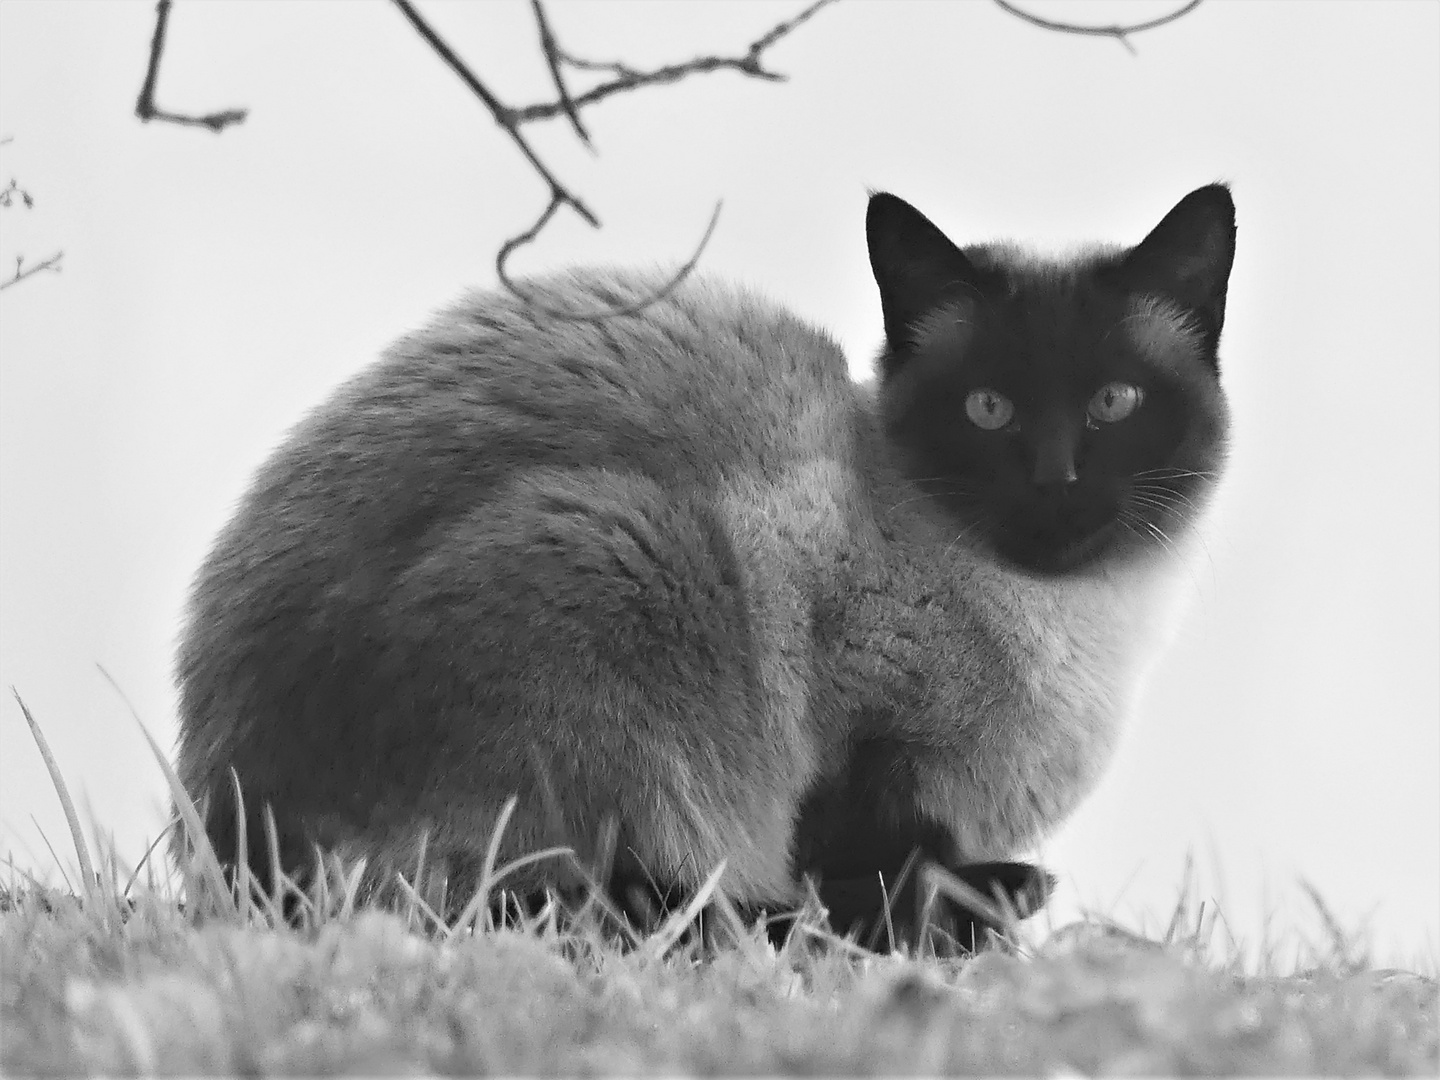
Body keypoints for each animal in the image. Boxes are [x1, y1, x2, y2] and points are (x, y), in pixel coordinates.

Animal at [174, 184, 1238, 944]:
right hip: (624, 553)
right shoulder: (862, 757)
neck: (1075, 626)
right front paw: (971, 912)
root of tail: (233, 859)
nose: (1056, 485)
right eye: (989, 410)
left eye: (1113, 403)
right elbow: (874, 875)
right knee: (590, 906)